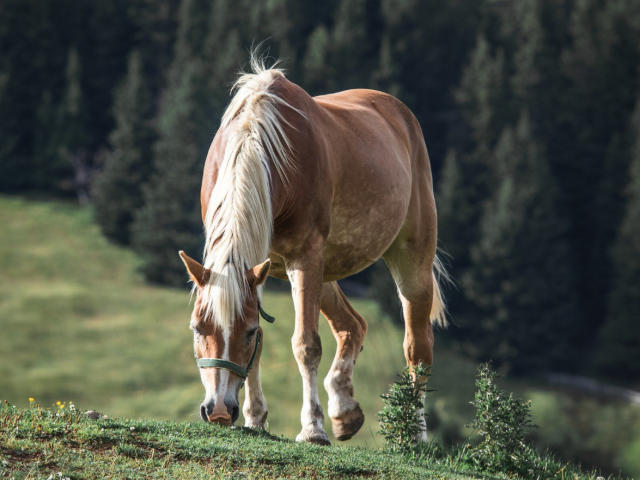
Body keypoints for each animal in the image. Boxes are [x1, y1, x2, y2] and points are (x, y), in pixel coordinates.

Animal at [178, 56, 447, 446]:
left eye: (245, 332)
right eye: (198, 328)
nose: (218, 411)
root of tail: (401, 114)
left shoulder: (305, 257)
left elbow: (306, 345)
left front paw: (312, 428)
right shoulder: (260, 267)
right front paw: (255, 418)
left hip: (410, 261)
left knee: (418, 349)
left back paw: (415, 433)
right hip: (323, 270)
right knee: (354, 325)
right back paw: (344, 410)